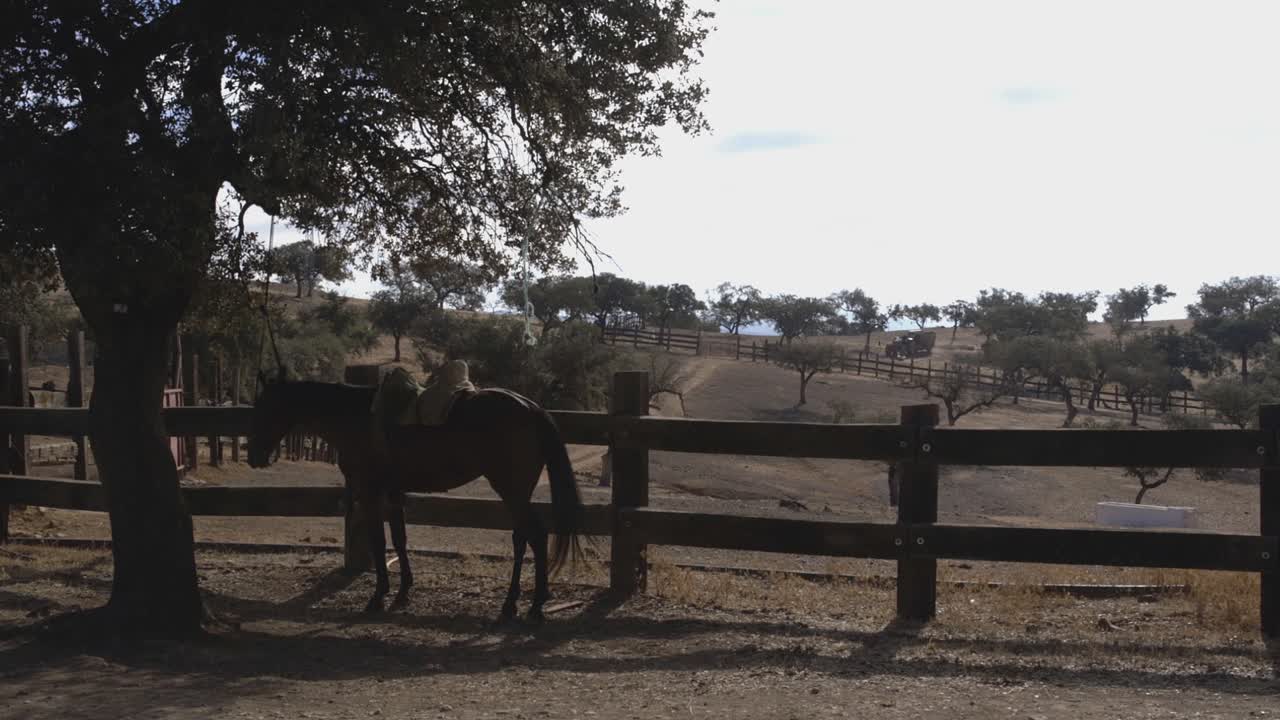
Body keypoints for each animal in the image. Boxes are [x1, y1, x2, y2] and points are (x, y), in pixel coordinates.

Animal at [245, 374, 583, 623]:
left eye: (265, 409)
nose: (254, 456)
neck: (355, 417)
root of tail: (531, 408)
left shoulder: (370, 491)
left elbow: (379, 540)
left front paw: (378, 596)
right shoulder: (394, 492)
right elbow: (399, 538)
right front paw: (403, 590)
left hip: (511, 489)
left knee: (535, 535)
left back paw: (531, 605)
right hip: (518, 492)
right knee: (523, 537)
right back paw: (518, 602)